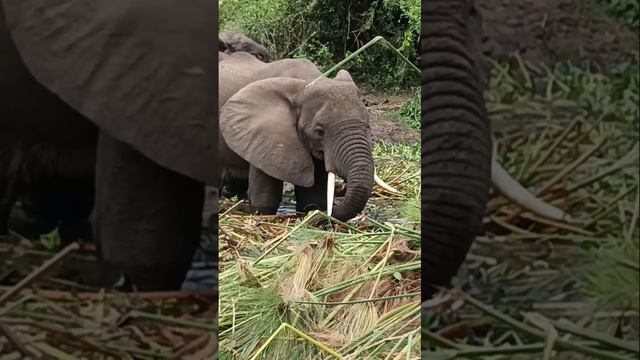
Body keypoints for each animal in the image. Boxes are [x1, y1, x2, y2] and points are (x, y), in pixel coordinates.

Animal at [219, 50, 390, 219]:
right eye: (319, 131)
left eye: (368, 126)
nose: (330, 210)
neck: (307, 83)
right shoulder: (264, 136)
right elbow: (266, 198)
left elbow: (312, 196)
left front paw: (313, 211)